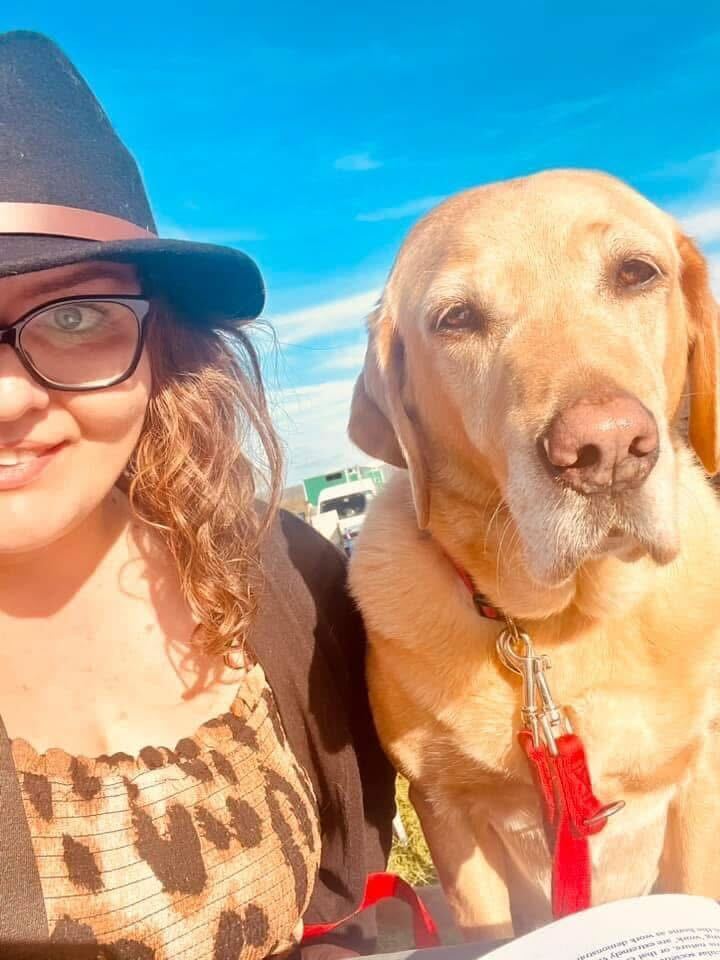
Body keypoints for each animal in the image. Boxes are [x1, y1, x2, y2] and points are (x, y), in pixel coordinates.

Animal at [348, 169, 720, 940]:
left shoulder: (700, 777)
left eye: (636, 273)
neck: (564, 622)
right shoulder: (446, 813)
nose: (606, 447)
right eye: (456, 319)